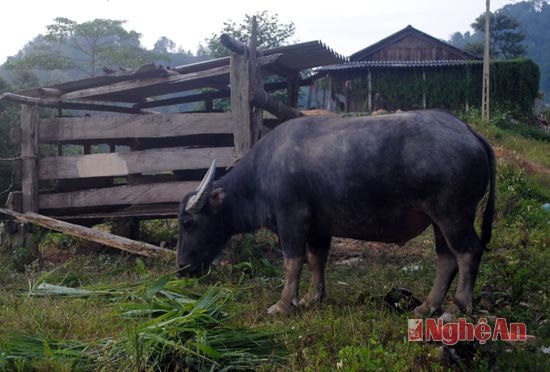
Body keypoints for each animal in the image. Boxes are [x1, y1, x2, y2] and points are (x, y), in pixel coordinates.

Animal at [179, 109, 498, 316]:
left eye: (188, 222)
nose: (182, 267)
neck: (262, 175)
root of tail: (468, 132)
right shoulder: (319, 228)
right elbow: (316, 259)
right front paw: (313, 298)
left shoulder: (291, 220)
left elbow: (292, 261)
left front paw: (283, 304)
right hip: (438, 220)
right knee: (447, 258)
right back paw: (427, 306)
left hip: (452, 214)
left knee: (468, 252)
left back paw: (457, 307)